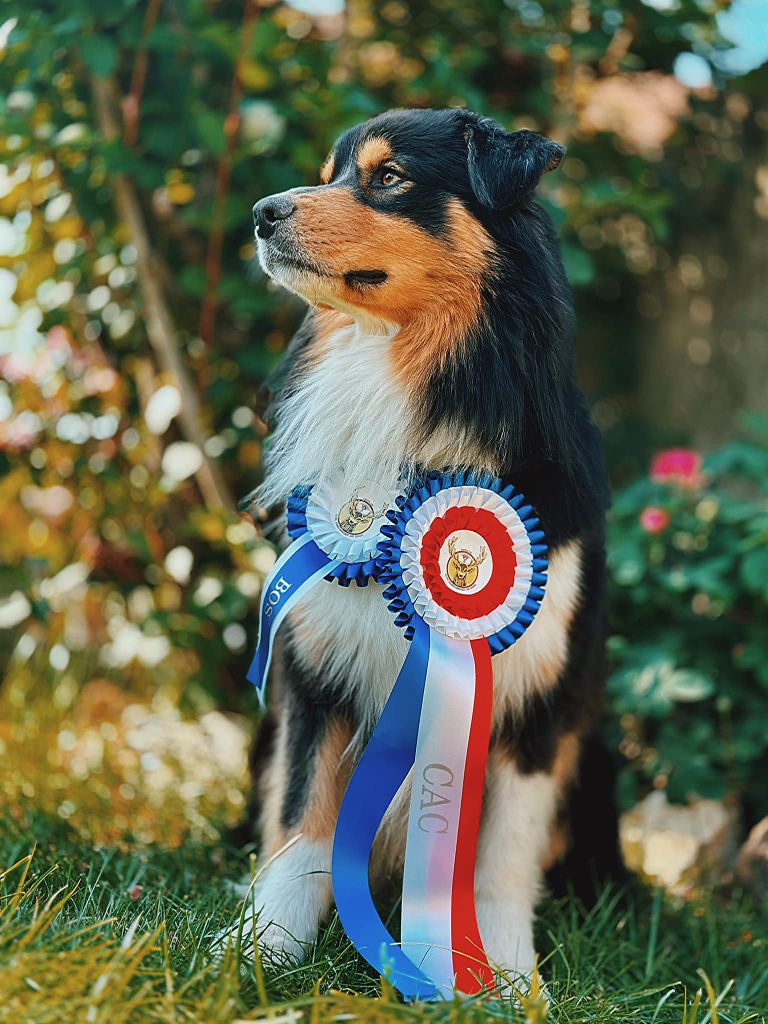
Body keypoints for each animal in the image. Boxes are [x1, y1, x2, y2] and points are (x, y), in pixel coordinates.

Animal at [237, 105, 622, 983]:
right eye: (331, 173)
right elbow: (301, 816)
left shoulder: (541, 693)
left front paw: (506, 979)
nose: (263, 213)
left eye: (389, 177)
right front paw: (265, 950)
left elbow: (503, 856)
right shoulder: (315, 669)